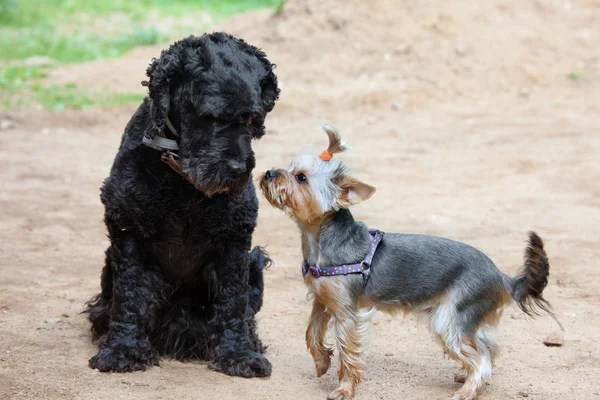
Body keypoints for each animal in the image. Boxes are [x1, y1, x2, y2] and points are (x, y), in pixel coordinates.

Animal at [84, 32, 278, 376]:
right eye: (209, 116)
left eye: (252, 117)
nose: (238, 170)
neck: (184, 185)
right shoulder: (128, 229)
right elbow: (128, 296)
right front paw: (123, 350)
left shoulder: (236, 240)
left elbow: (233, 301)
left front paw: (239, 355)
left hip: (254, 259)